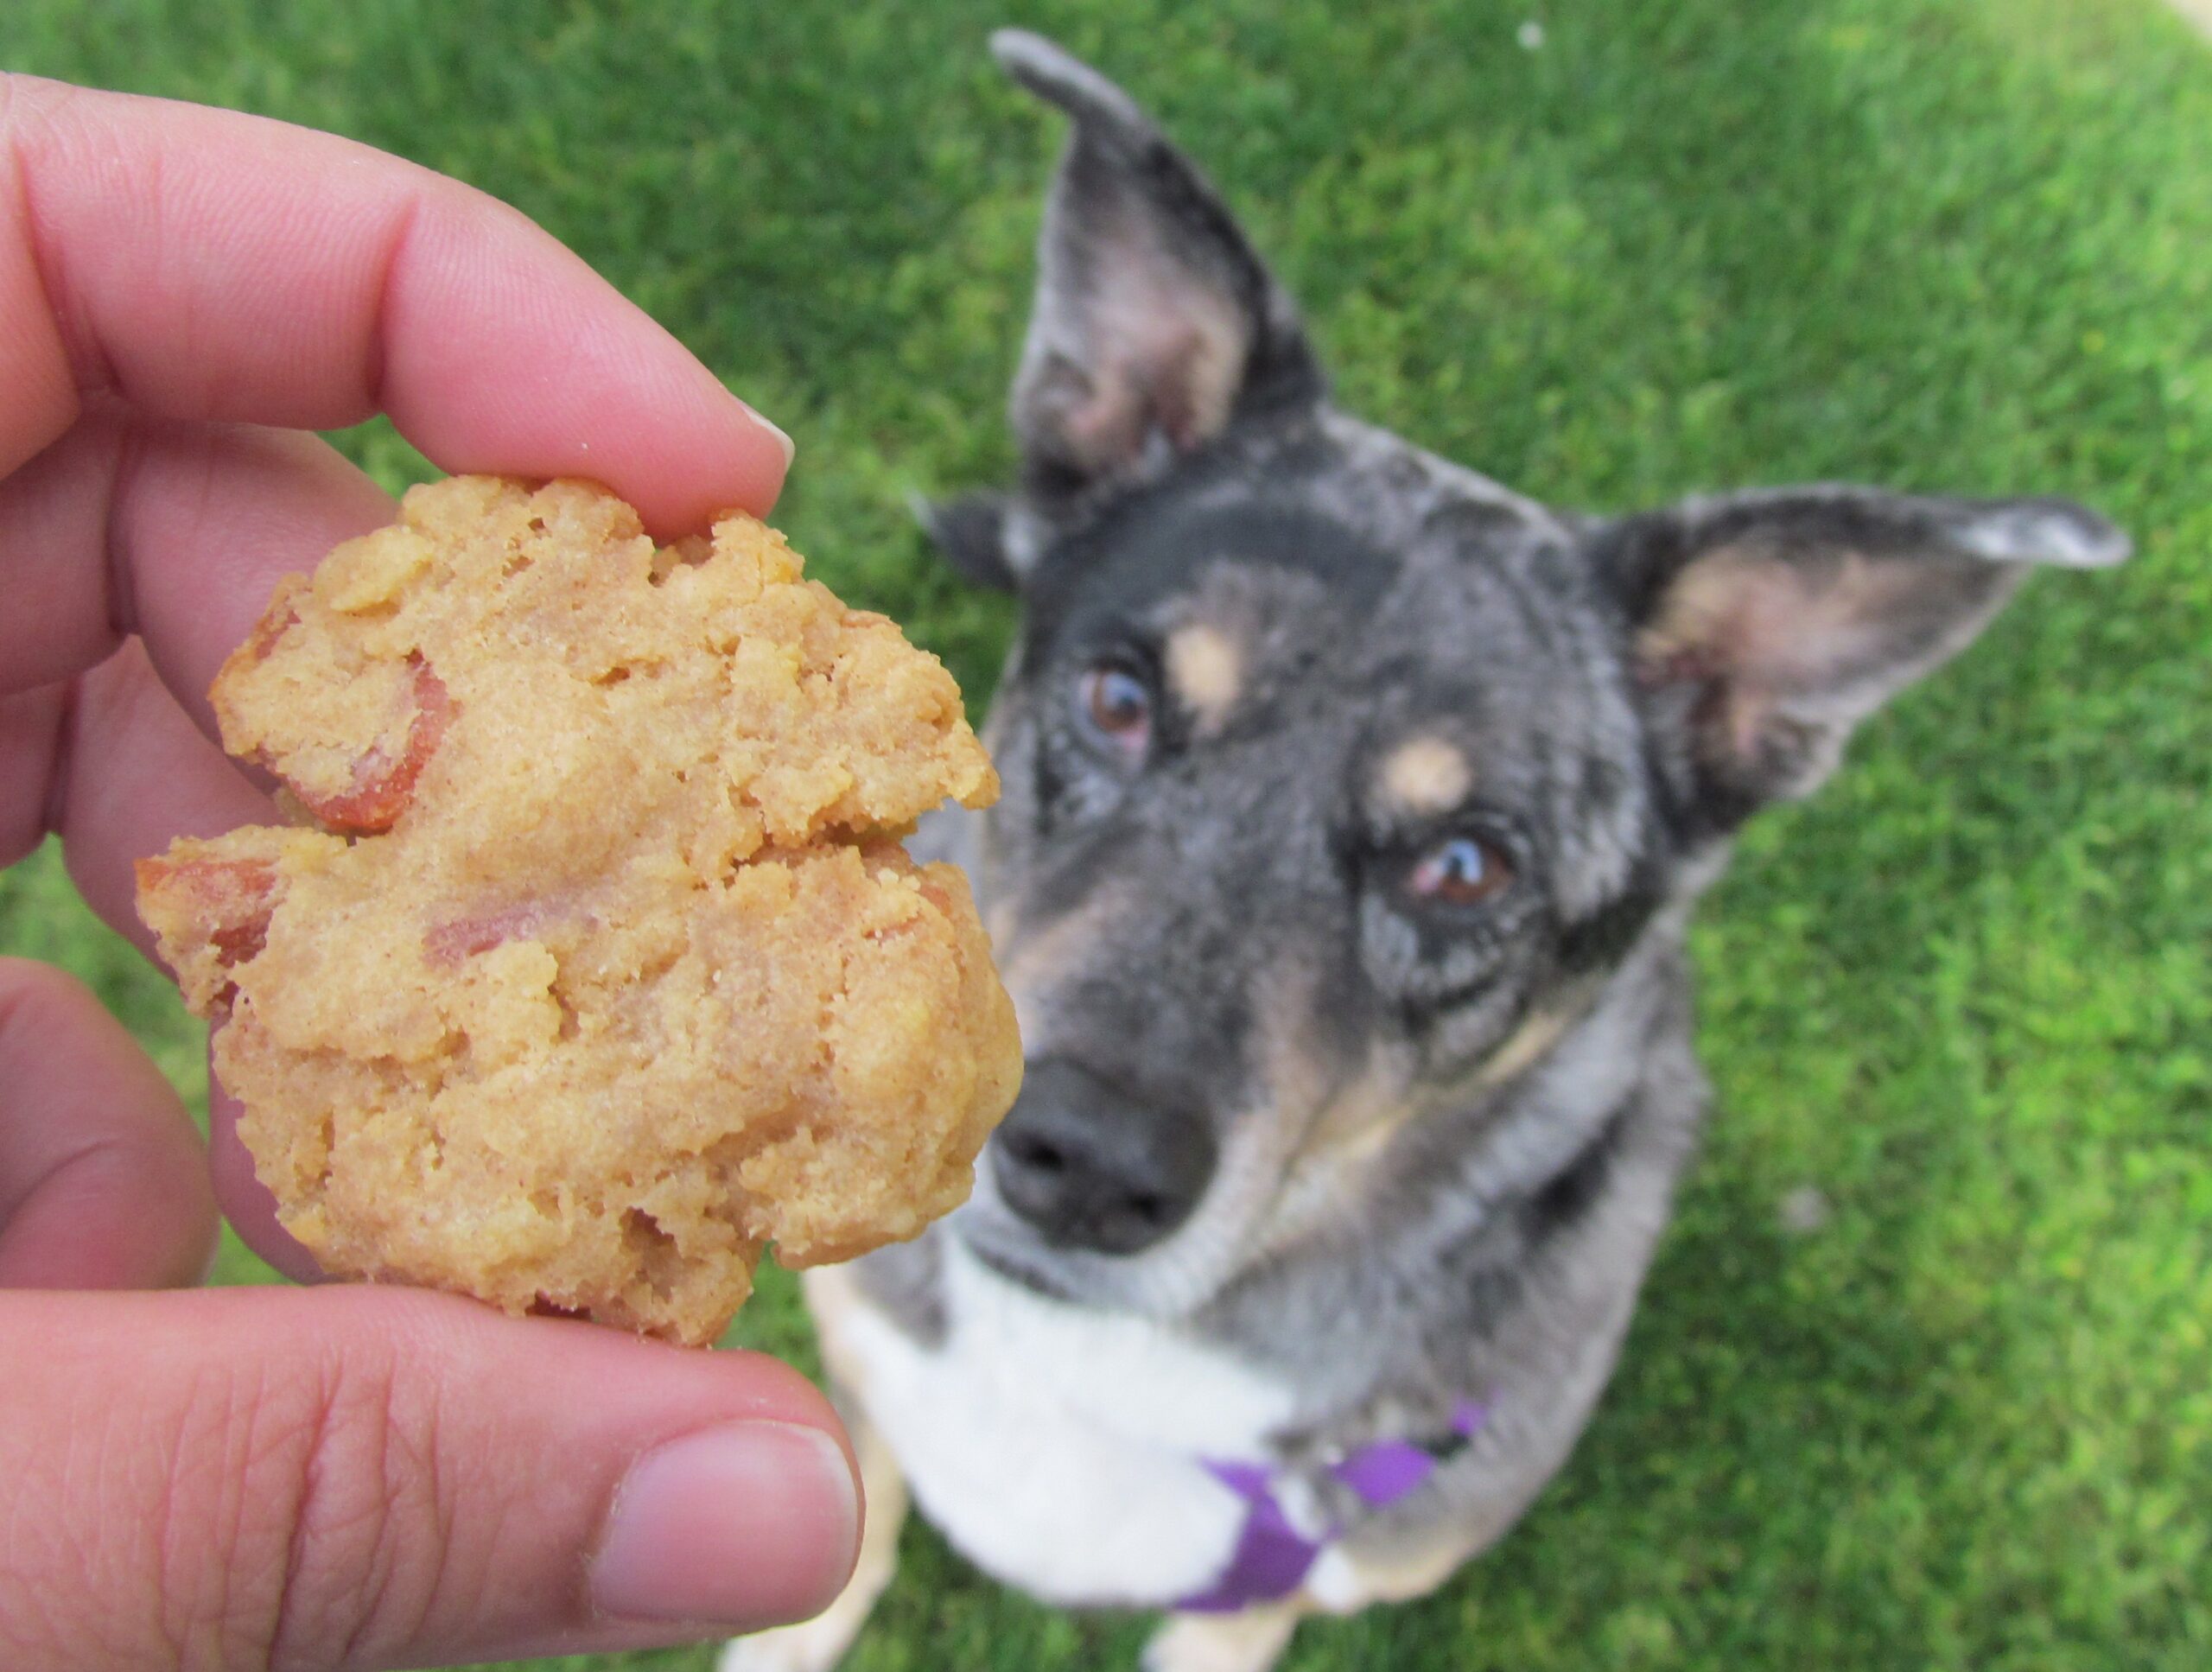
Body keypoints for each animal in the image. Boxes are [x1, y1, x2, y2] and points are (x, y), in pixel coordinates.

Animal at [716, 29, 2114, 1672]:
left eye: (1467, 867)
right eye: (1121, 698)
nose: (1086, 1162)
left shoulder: (1282, 1587)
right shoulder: (866, 1387)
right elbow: (834, 1553)